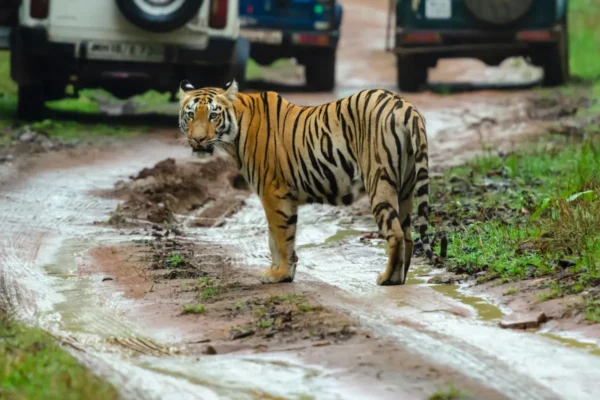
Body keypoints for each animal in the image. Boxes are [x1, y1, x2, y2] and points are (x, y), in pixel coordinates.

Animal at [177, 79, 436, 284]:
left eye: (213, 115)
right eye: (190, 114)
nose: (198, 139)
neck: (234, 134)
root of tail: (405, 107)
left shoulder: (273, 192)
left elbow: (280, 237)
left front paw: (279, 274)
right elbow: (275, 238)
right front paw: (280, 271)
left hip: (379, 181)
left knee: (396, 233)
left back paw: (387, 279)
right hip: (405, 188)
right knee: (408, 235)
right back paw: (400, 277)